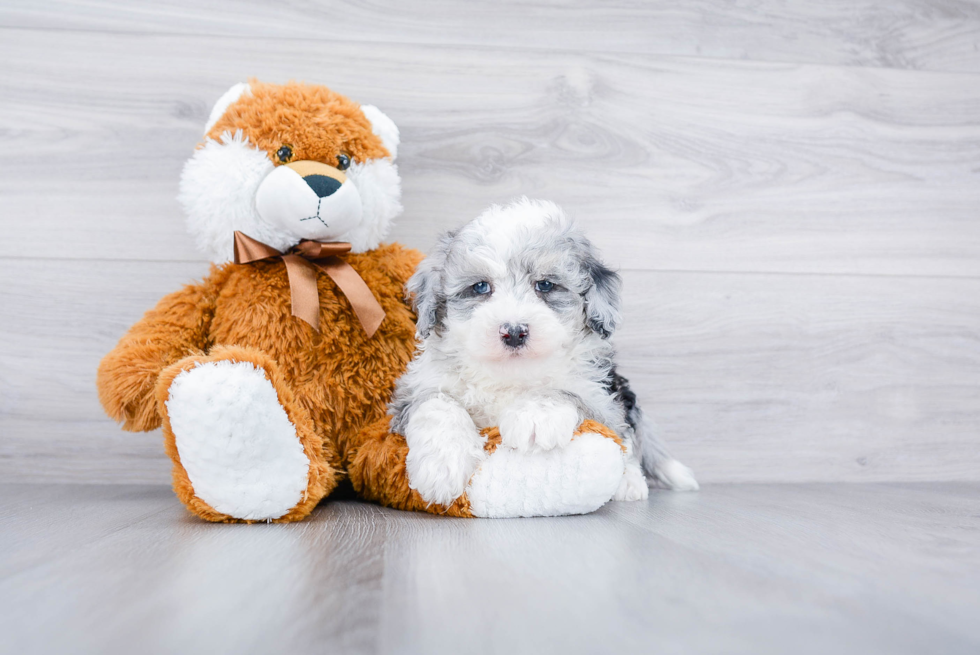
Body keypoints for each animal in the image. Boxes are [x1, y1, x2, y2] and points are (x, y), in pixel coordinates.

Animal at [386, 200, 700, 508]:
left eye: (546, 285)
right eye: (480, 287)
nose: (514, 332)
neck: (510, 375)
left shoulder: (600, 397)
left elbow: (565, 393)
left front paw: (535, 417)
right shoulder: (413, 391)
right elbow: (437, 404)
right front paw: (442, 468)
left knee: (628, 439)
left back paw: (630, 483)